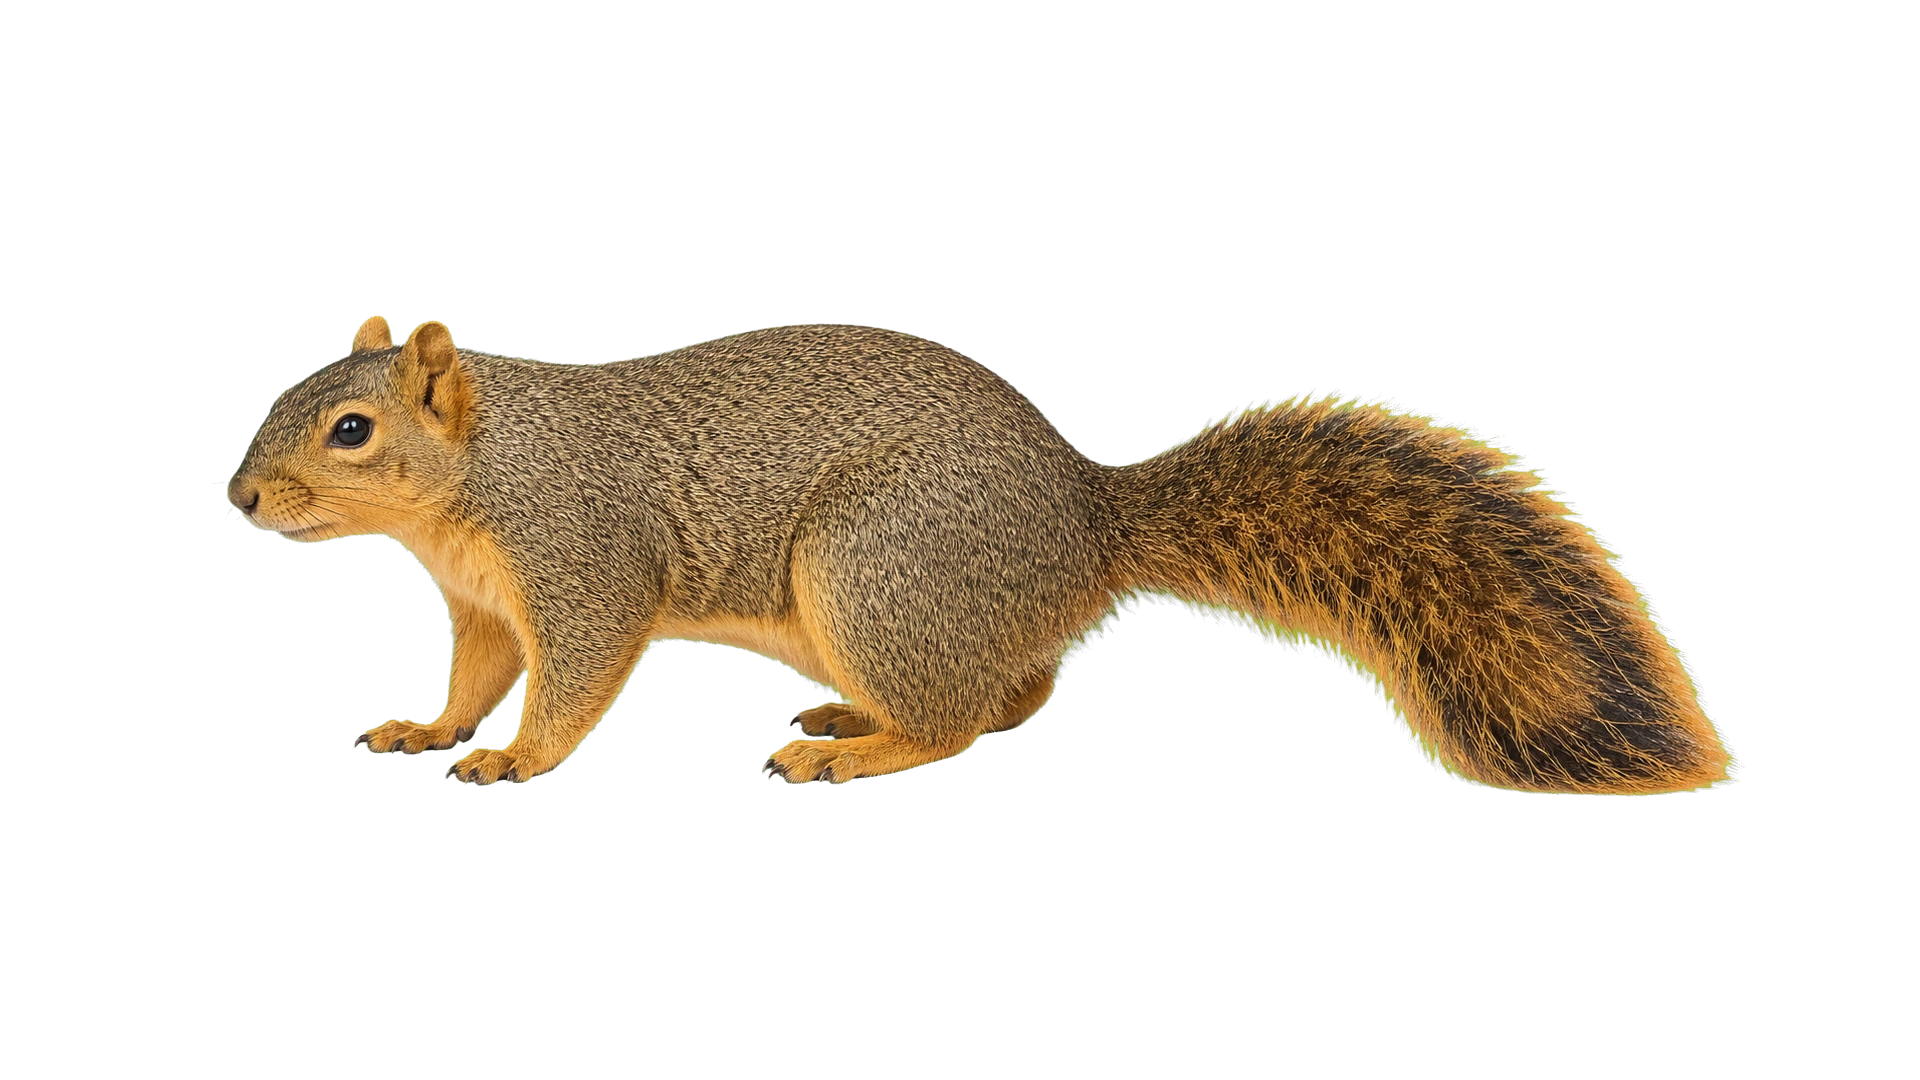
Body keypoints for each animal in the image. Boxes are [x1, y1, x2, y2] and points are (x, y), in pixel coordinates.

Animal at [227, 316, 1733, 793]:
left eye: (352, 429)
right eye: (287, 391)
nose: (239, 500)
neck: (478, 481)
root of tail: (1086, 520)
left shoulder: (581, 559)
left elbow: (577, 681)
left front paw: (513, 760)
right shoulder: (485, 605)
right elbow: (477, 675)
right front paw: (430, 728)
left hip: (877, 571)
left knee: (964, 717)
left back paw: (855, 750)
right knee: (1020, 692)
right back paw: (844, 717)